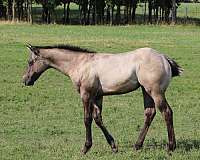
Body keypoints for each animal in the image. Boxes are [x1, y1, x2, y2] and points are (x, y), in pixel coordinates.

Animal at [22, 43, 183, 154]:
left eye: (30, 62)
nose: (25, 80)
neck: (80, 63)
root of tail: (164, 58)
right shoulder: (97, 96)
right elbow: (97, 118)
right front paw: (113, 146)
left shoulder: (86, 94)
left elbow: (87, 119)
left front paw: (85, 148)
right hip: (146, 91)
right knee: (150, 113)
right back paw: (137, 145)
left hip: (155, 91)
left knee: (166, 112)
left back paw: (170, 147)